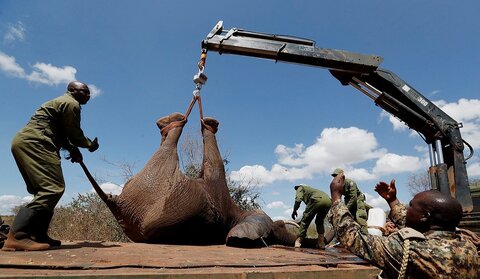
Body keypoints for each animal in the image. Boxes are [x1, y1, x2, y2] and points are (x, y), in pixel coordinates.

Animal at [84, 112, 310, 248]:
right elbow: (213, 169)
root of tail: (119, 205)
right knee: (204, 161)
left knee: (170, 146)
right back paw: (192, 121)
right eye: (278, 227)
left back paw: (171, 122)